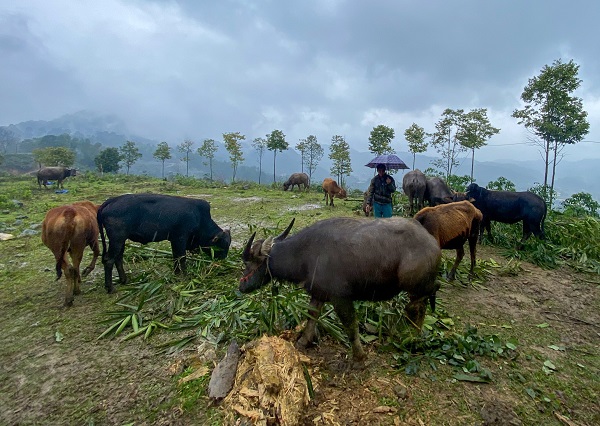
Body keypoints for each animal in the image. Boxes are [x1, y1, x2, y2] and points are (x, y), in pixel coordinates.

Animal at [97, 195, 231, 294]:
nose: (223, 260)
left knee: (118, 258)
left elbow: (175, 257)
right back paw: (110, 288)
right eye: (222, 246)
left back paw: (124, 280)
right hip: (117, 240)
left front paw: (177, 274)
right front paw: (185, 275)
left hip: (121, 241)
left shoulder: (174, 240)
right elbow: (182, 258)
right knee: (109, 260)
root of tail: (111, 200)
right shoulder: (180, 238)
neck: (200, 218)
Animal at [239, 218, 440, 362]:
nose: (241, 287)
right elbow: (311, 316)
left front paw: (359, 357)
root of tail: (432, 242)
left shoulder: (341, 299)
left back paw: (412, 338)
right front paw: (304, 341)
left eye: (248, 263)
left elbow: (350, 326)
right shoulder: (318, 294)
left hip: (414, 287)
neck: (306, 253)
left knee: (417, 307)